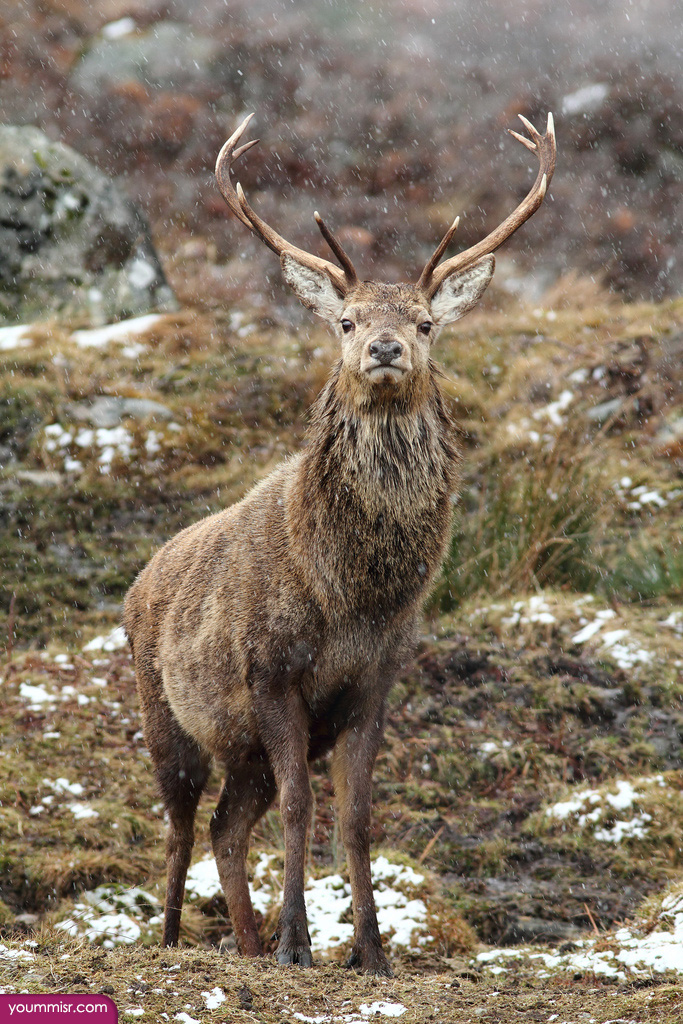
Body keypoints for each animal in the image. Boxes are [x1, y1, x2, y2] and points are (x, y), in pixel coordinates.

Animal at [123, 111, 555, 977]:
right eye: (347, 321)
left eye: (425, 323)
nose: (385, 349)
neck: (350, 599)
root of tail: (138, 580)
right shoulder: (270, 671)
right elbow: (302, 804)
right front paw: (299, 942)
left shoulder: (374, 682)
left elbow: (354, 817)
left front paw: (369, 950)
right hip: (165, 716)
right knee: (182, 826)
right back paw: (175, 938)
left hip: (239, 749)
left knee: (226, 827)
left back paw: (246, 945)